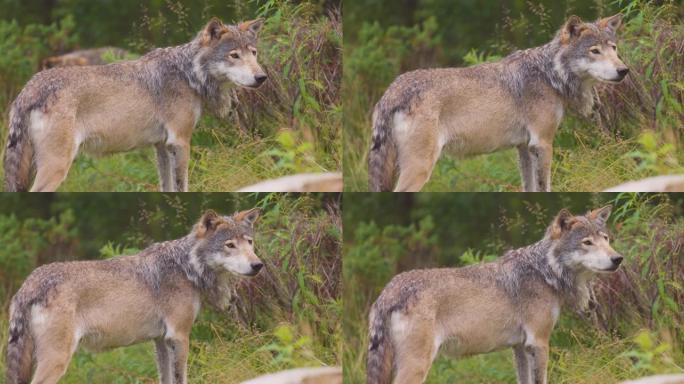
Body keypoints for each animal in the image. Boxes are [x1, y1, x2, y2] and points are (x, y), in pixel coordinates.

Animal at [4, 18, 268, 192]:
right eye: (234, 55)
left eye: (253, 53)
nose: (261, 77)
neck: (188, 73)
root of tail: (28, 89)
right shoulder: (180, 141)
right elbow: (182, 186)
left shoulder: (162, 146)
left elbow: (167, 188)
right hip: (56, 167)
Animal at [5, 208, 262, 382]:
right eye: (230, 245)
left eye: (250, 243)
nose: (258, 265)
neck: (186, 266)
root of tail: (28, 284)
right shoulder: (179, 336)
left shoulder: (161, 340)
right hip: (57, 360)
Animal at [368, 15, 632, 192]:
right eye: (594, 51)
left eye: (614, 48)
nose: (623, 70)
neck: (550, 74)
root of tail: (391, 92)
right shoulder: (543, 143)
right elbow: (545, 187)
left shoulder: (525, 148)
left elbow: (529, 189)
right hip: (419, 168)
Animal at [368, 206, 624, 384]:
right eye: (587, 242)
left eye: (605, 239)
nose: (618, 258)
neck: (545, 271)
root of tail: (388, 292)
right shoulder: (539, 342)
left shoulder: (521, 347)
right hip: (417, 365)